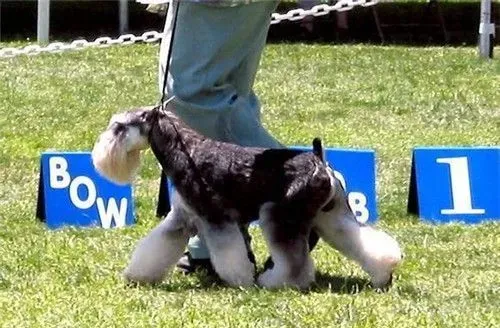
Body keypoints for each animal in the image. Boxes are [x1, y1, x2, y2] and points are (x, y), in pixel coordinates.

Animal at [91, 103, 402, 290]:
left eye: (119, 127)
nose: (100, 154)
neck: (185, 150)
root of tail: (319, 161)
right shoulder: (181, 219)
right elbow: (155, 248)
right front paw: (138, 276)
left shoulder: (216, 220)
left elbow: (231, 255)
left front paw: (240, 280)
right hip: (332, 217)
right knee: (360, 240)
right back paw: (383, 274)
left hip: (278, 217)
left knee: (294, 261)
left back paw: (275, 282)